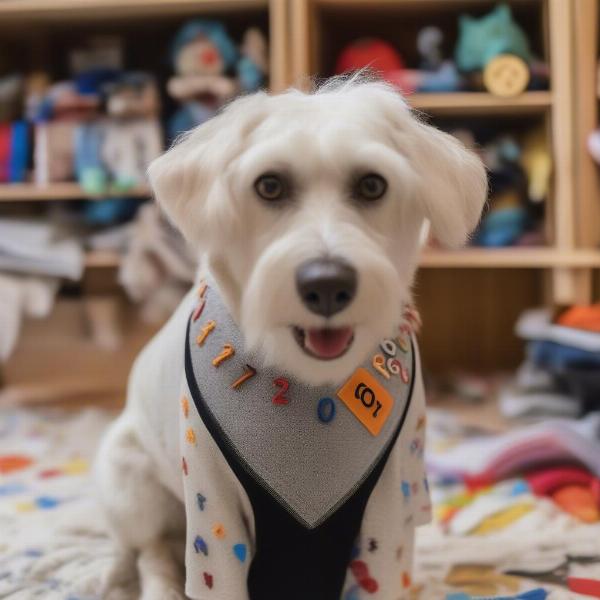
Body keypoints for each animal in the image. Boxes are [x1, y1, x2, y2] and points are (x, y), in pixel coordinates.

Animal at [95, 76, 488, 600]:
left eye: (372, 184)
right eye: (269, 185)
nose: (327, 284)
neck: (312, 389)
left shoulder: (390, 512)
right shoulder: (212, 509)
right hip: (132, 483)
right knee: (147, 552)